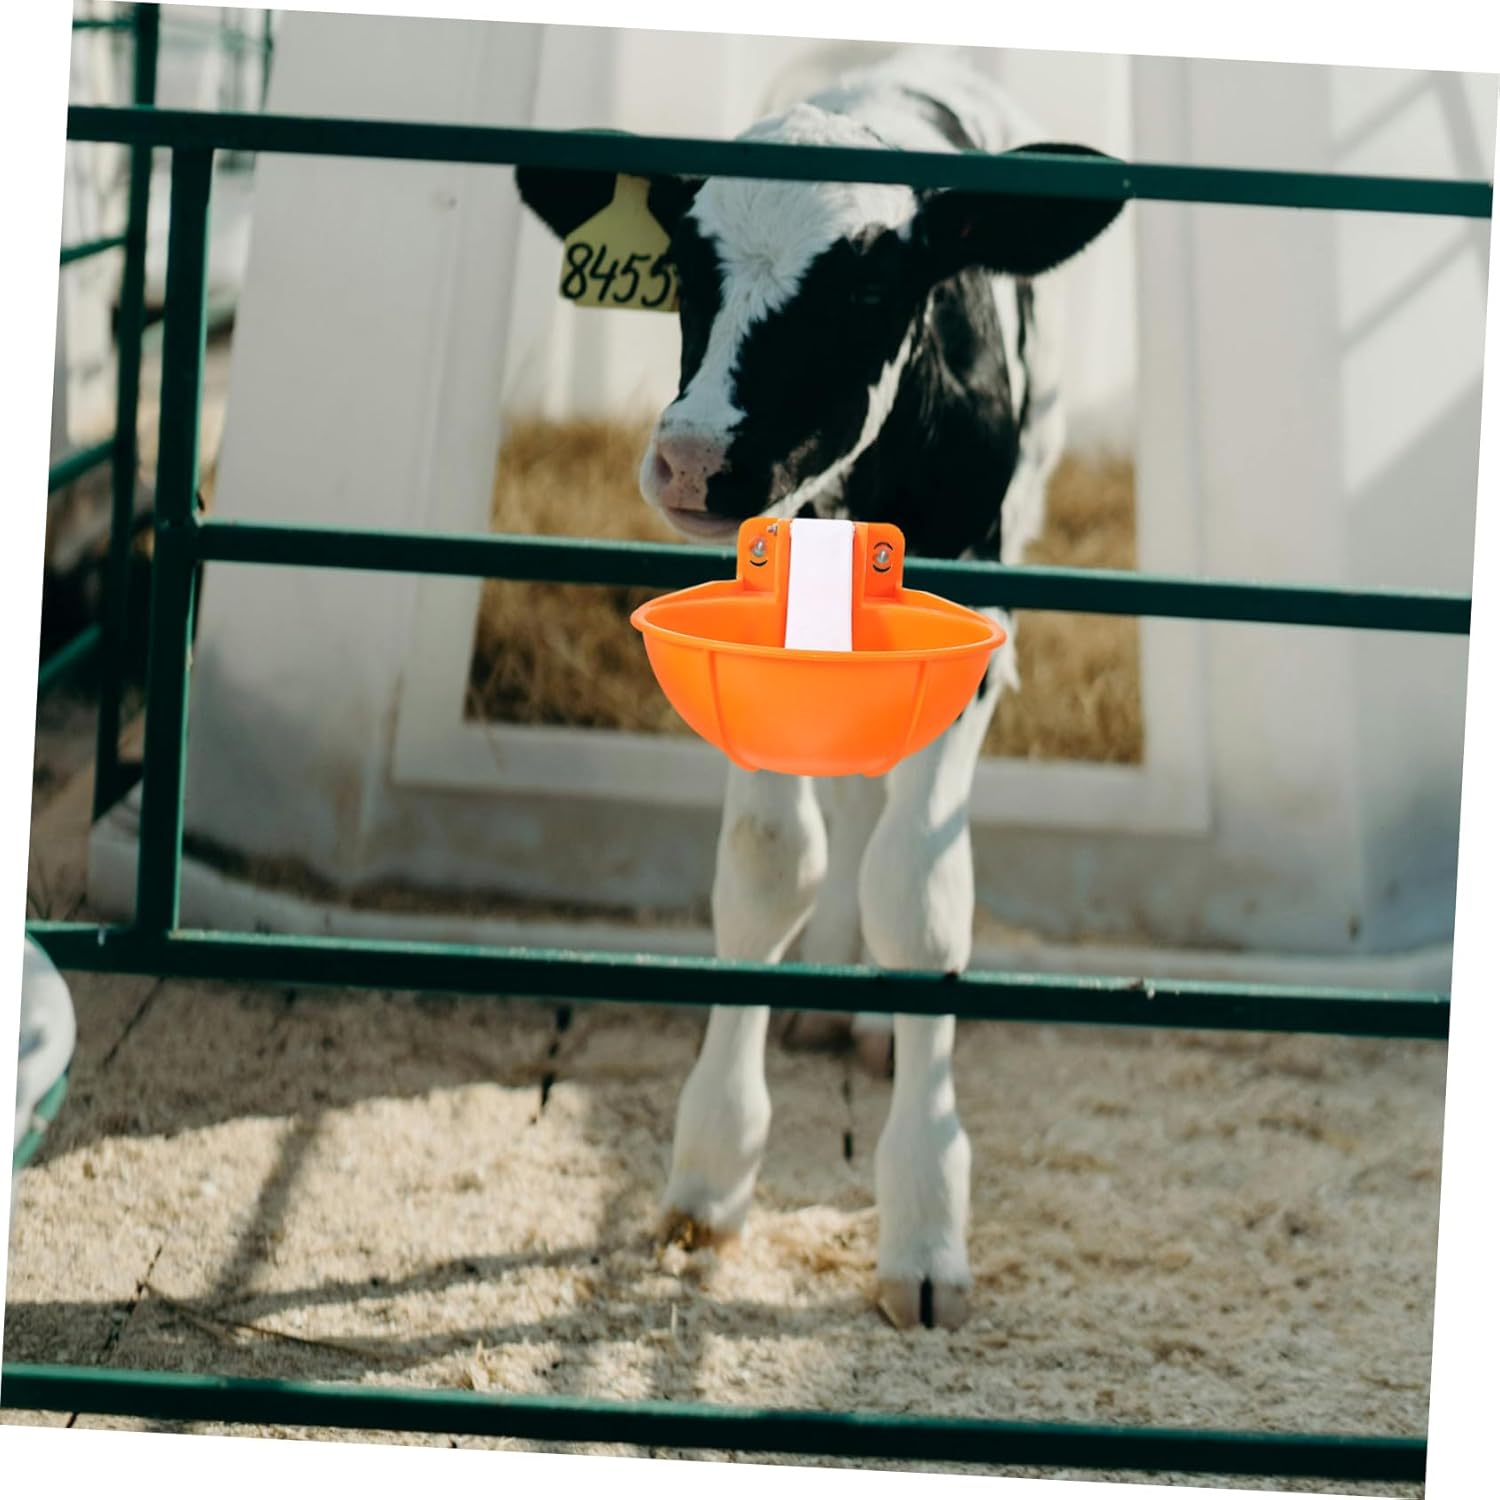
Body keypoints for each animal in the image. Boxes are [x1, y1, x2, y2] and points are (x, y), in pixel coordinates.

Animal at [515, 51, 1124, 1329]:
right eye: (687, 266)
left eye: (864, 289)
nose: (696, 459)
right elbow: (766, 867)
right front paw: (711, 1170)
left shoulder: (979, 620)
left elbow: (922, 896)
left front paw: (926, 1228)